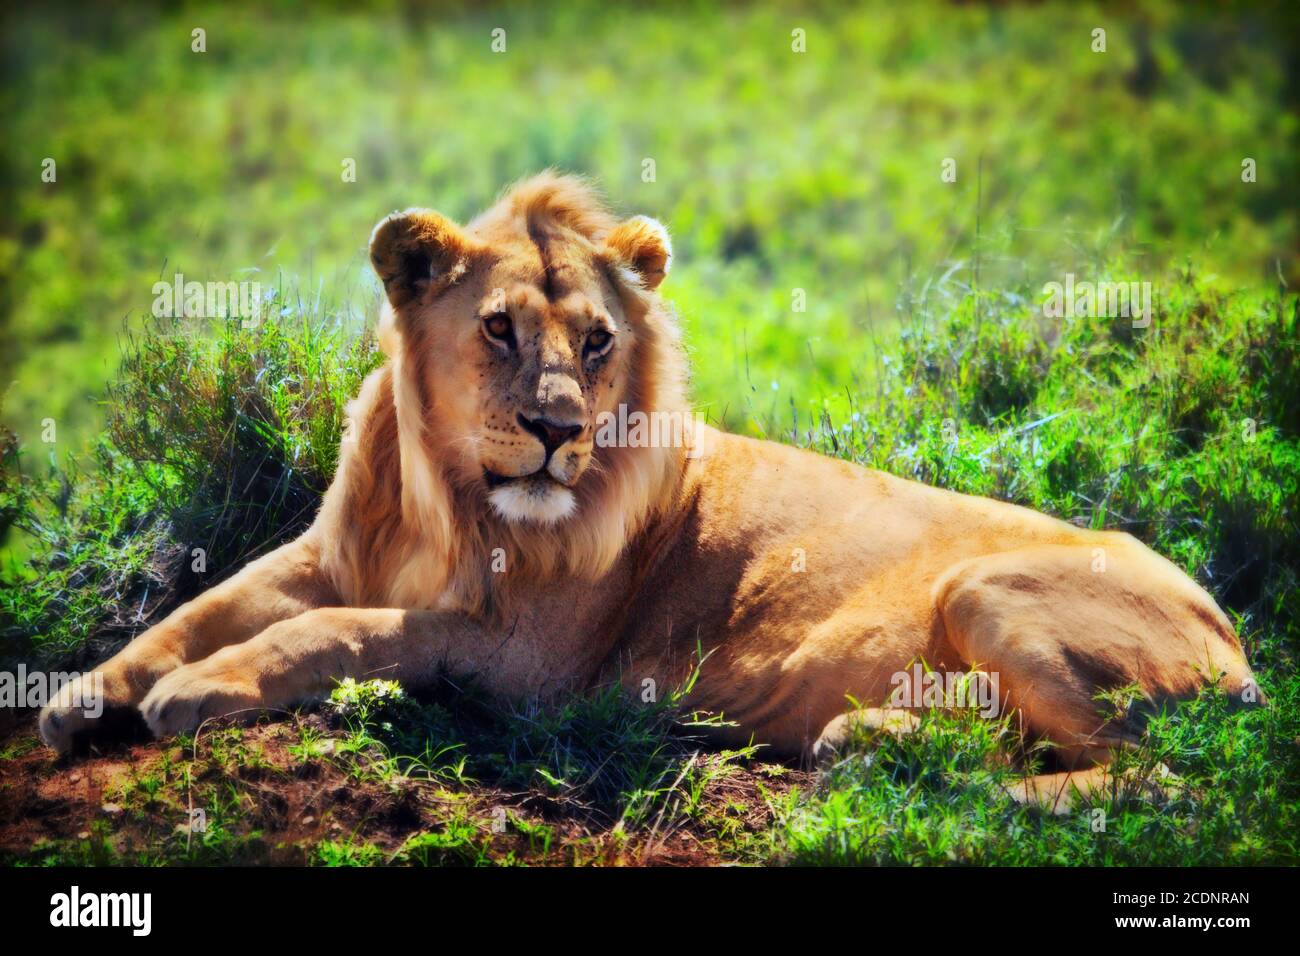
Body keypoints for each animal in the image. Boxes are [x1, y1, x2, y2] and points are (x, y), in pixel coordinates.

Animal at [43, 171, 1258, 801]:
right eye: (498, 329)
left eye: (595, 341)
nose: (554, 431)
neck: (444, 496)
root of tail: (1233, 633)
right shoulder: (321, 556)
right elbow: (198, 608)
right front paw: (79, 693)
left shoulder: (526, 661)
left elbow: (340, 633)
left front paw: (195, 692)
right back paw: (872, 745)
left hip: (986, 590)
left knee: (1162, 777)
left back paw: (939, 781)